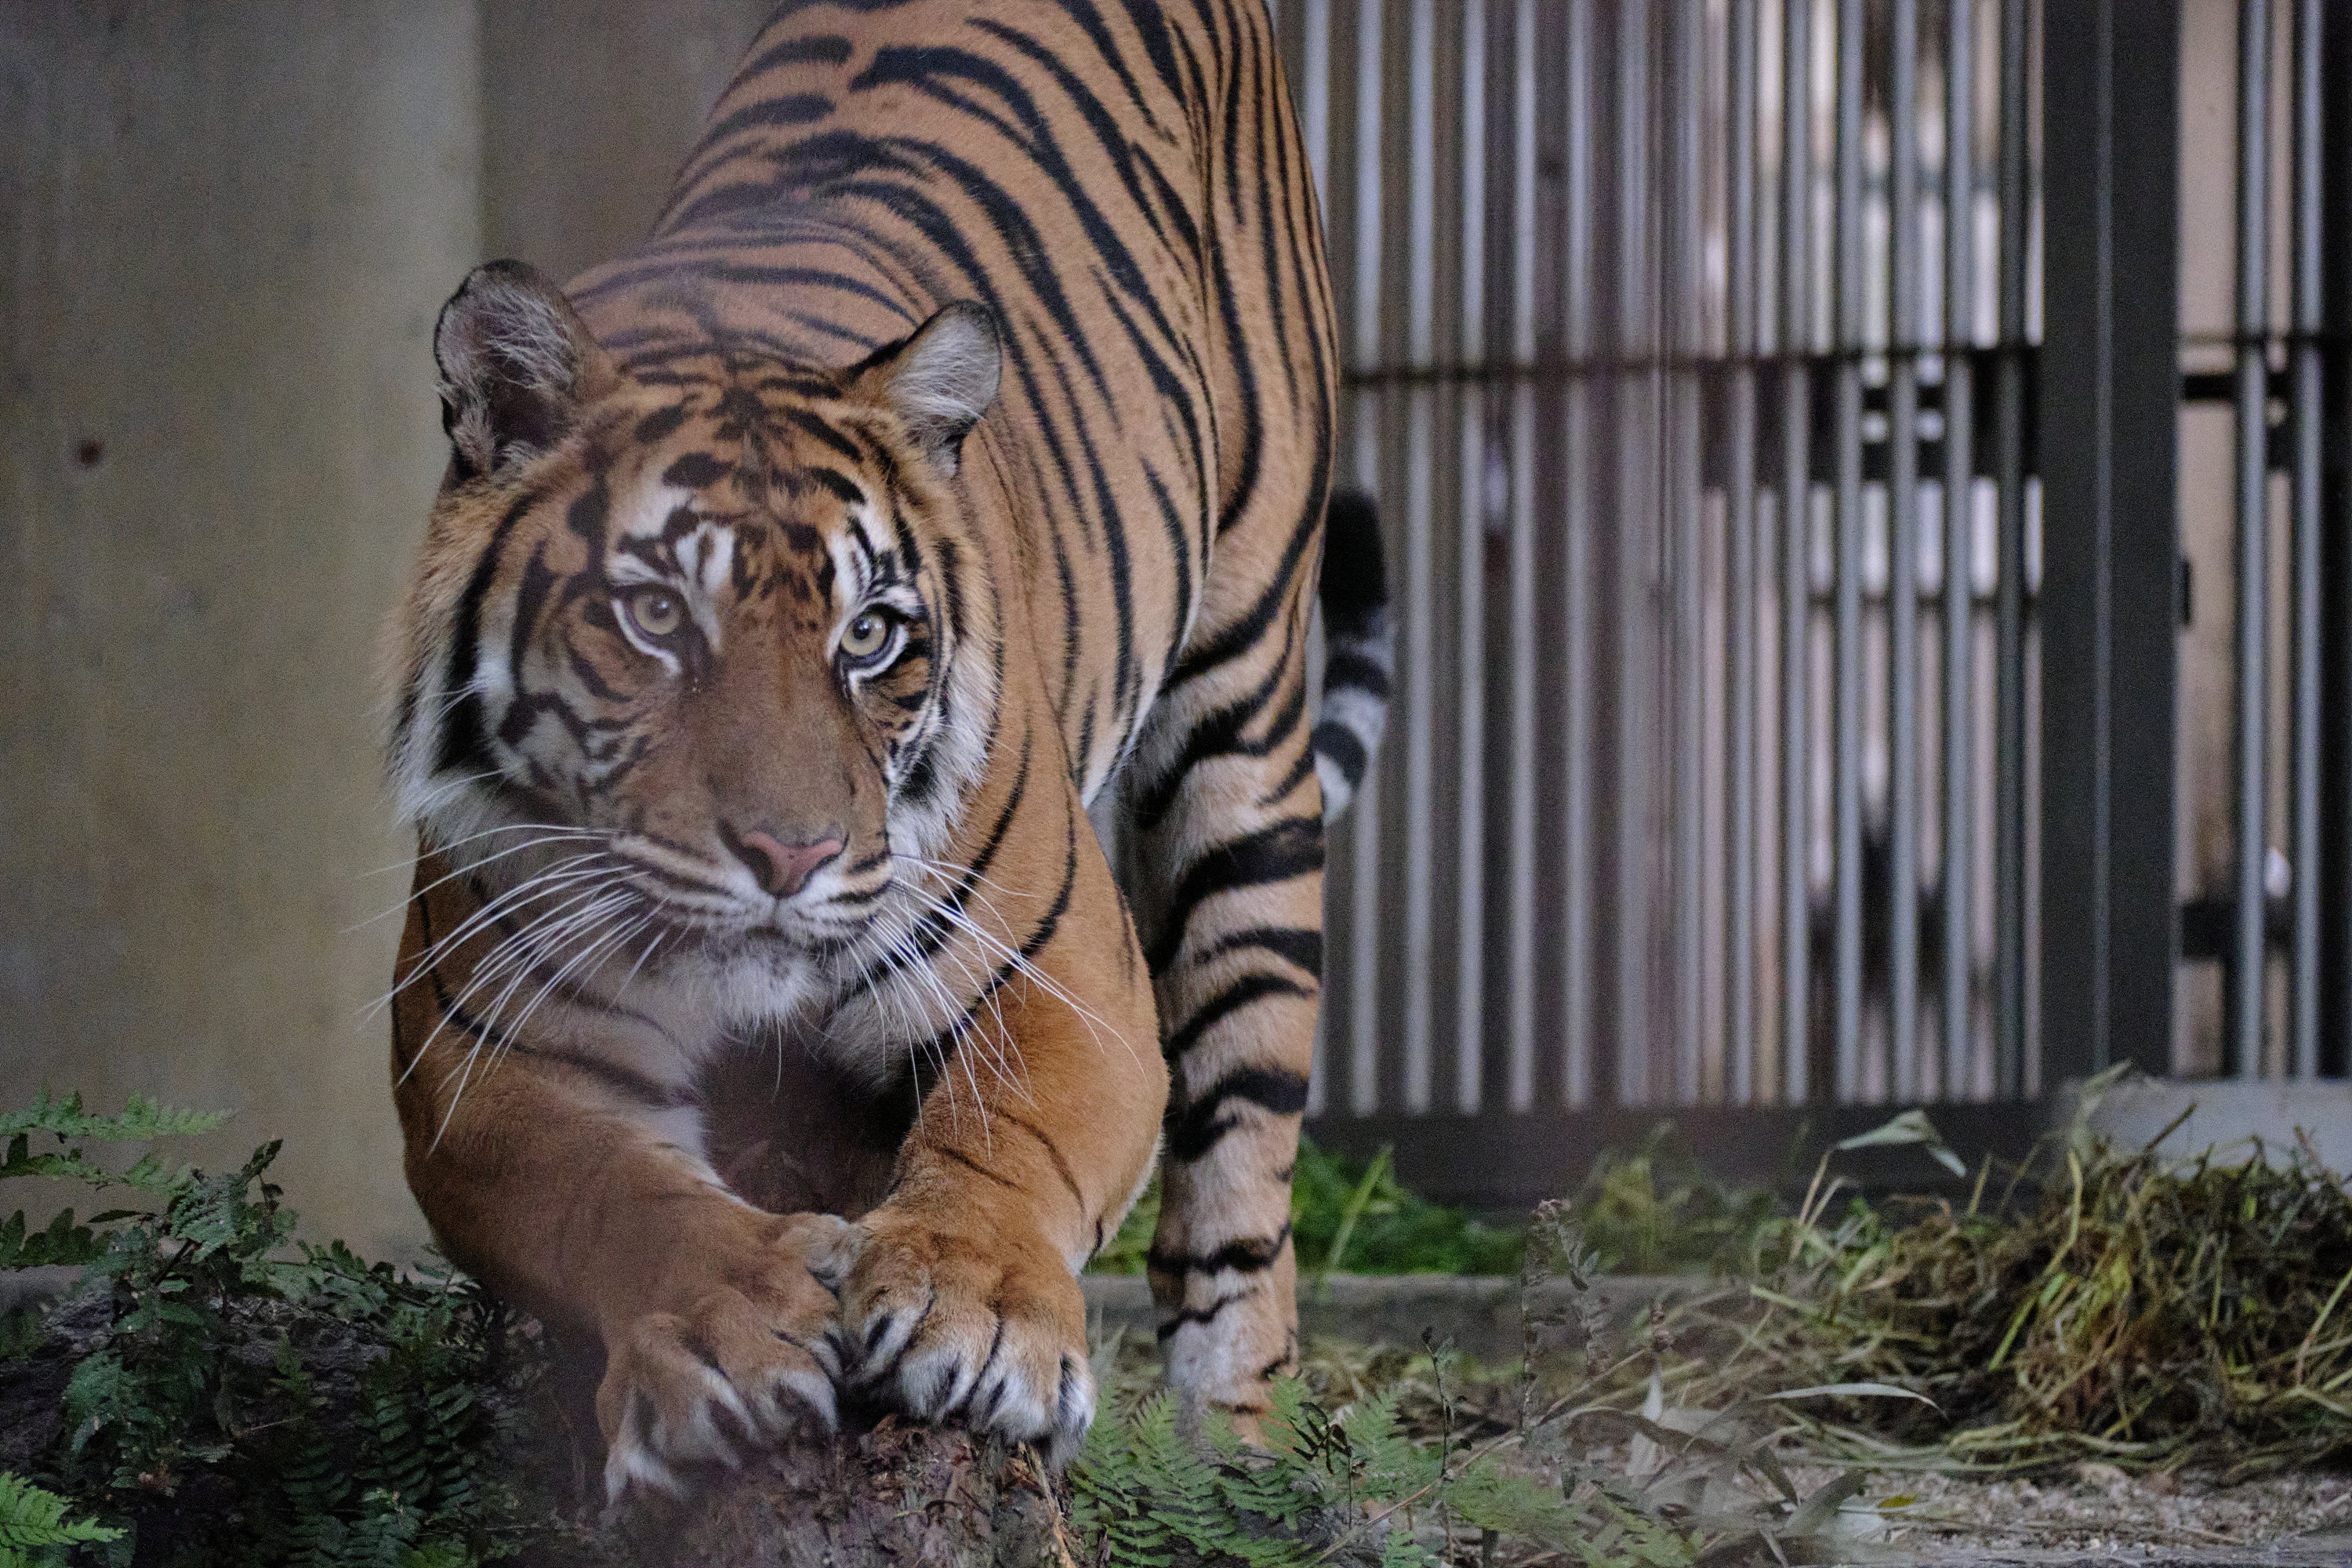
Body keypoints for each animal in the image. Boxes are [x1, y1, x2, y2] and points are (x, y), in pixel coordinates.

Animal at [382, 0, 1390, 1502]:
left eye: (870, 634)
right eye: (656, 615)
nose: (789, 855)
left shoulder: (1073, 979)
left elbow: (1010, 1138)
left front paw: (979, 1319)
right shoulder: (478, 1053)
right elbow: (607, 1193)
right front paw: (725, 1331)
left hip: (1248, 715)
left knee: (1238, 1161)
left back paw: (1239, 1459)